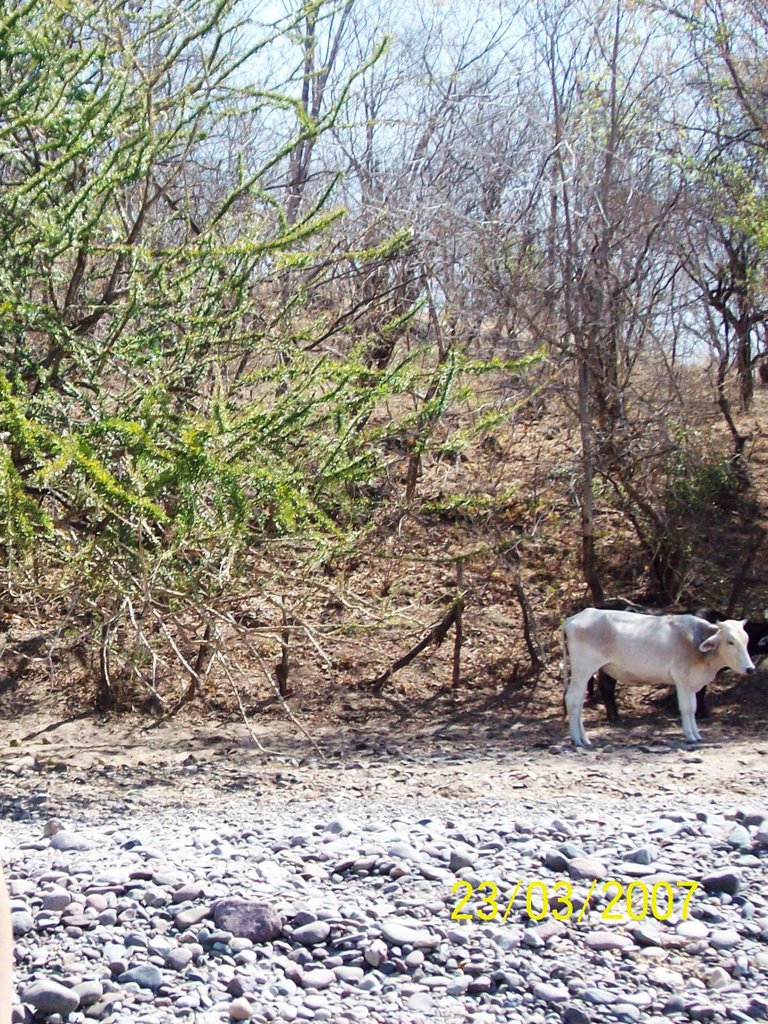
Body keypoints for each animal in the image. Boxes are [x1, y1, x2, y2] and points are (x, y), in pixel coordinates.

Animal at [561, 606, 753, 745]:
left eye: (746, 640)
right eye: (730, 641)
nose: (750, 669)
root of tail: (573, 619)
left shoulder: (691, 683)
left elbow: (693, 707)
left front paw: (697, 735)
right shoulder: (681, 678)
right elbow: (686, 708)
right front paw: (690, 736)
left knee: (578, 702)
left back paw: (584, 739)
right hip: (583, 669)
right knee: (572, 699)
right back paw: (577, 740)